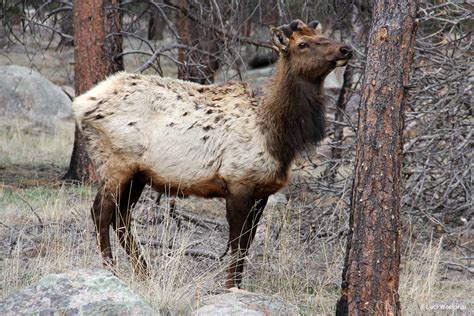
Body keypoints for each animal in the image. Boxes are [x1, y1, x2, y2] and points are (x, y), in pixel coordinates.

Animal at [74, 18, 352, 288]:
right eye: (303, 44)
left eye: (323, 36)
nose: (345, 49)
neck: (276, 137)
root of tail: (80, 104)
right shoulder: (238, 184)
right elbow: (237, 244)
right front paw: (229, 286)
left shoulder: (262, 192)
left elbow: (247, 244)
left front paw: (237, 285)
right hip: (115, 165)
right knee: (100, 213)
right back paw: (112, 271)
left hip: (138, 175)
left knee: (121, 219)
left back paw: (145, 274)